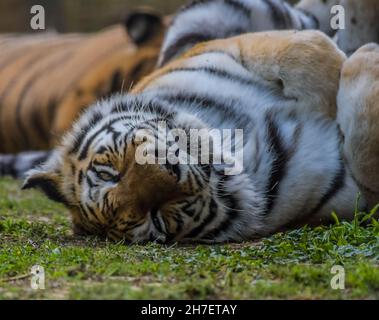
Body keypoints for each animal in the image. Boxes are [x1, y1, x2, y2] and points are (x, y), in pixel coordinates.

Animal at [21, 30, 379, 244]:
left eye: (111, 173)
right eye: (155, 217)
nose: (167, 170)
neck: (239, 143)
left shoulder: (233, 47)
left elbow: (309, 53)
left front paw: (353, 66)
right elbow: (365, 158)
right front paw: (362, 65)